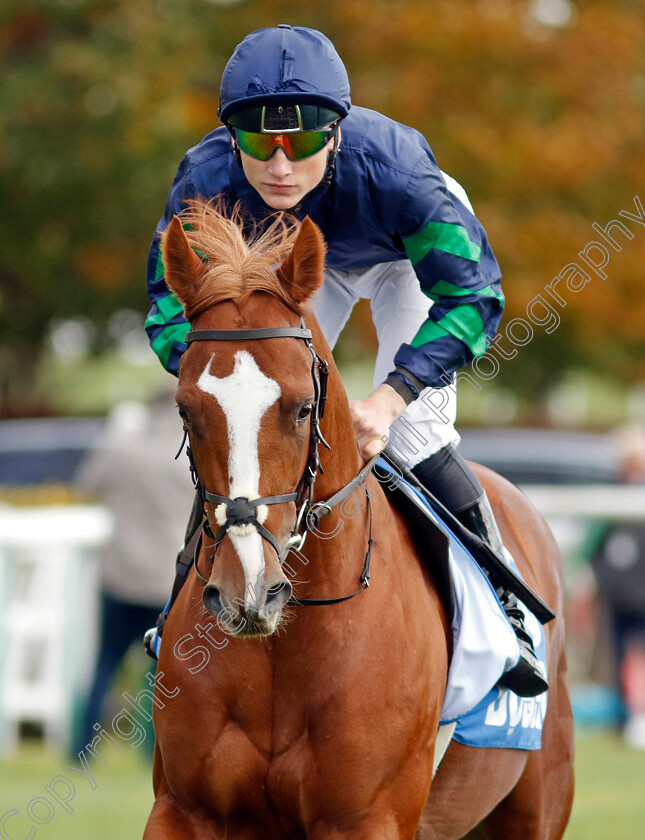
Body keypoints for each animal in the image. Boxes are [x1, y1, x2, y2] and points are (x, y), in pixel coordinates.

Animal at [142, 200, 572, 836]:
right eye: (185, 410)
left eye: (302, 408)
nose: (248, 590)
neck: (285, 643)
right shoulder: (184, 809)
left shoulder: (367, 818)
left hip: (536, 801)